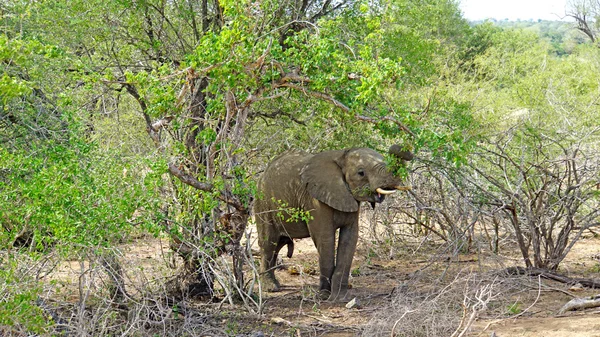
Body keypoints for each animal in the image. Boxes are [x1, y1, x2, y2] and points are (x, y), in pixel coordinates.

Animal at [253, 146, 412, 300]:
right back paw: (271, 288)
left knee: (277, 244)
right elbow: (325, 239)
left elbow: (349, 238)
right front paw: (324, 295)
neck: (341, 156)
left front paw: (341, 298)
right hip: (263, 203)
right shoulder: (315, 200)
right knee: (268, 243)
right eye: (361, 173)